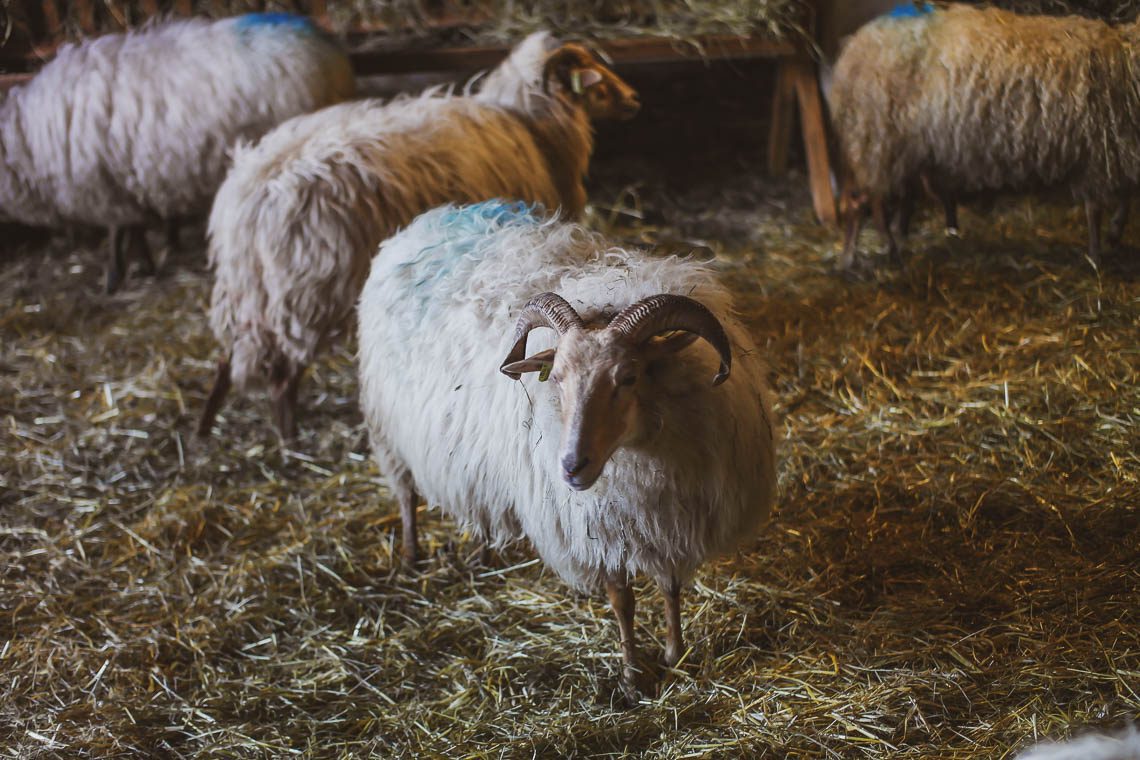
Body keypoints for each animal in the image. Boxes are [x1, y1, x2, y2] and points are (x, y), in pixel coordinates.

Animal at [0, 12, 355, 292]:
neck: (24, 140)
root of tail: (332, 54)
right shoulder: (122, 184)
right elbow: (135, 229)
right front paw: (144, 265)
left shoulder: (103, 188)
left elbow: (118, 235)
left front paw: (115, 277)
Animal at [198, 31, 639, 441]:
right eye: (594, 78)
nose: (634, 100)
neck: (531, 126)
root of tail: (248, 199)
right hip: (306, 293)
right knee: (281, 373)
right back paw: (288, 435)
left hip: (251, 293)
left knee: (228, 357)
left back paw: (205, 427)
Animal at [356, 200, 778, 701]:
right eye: (555, 378)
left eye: (628, 377)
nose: (572, 468)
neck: (638, 454)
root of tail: (425, 221)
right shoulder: (594, 525)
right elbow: (623, 601)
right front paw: (632, 676)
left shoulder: (667, 517)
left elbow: (671, 587)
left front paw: (675, 654)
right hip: (389, 426)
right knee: (404, 492)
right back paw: (410, 556)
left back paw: (481, 554)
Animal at [828, 3, 1140, 270]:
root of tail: (855, 47)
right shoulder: (1099, 155)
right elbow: (1095, 211)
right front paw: (1097, 256)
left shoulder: (1119, 149)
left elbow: (1125, 196)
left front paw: (1114, 234)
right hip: (879, 140)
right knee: (864, 202)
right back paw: (866, 256)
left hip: (900, 147)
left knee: (887, 198)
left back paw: (888, 243)